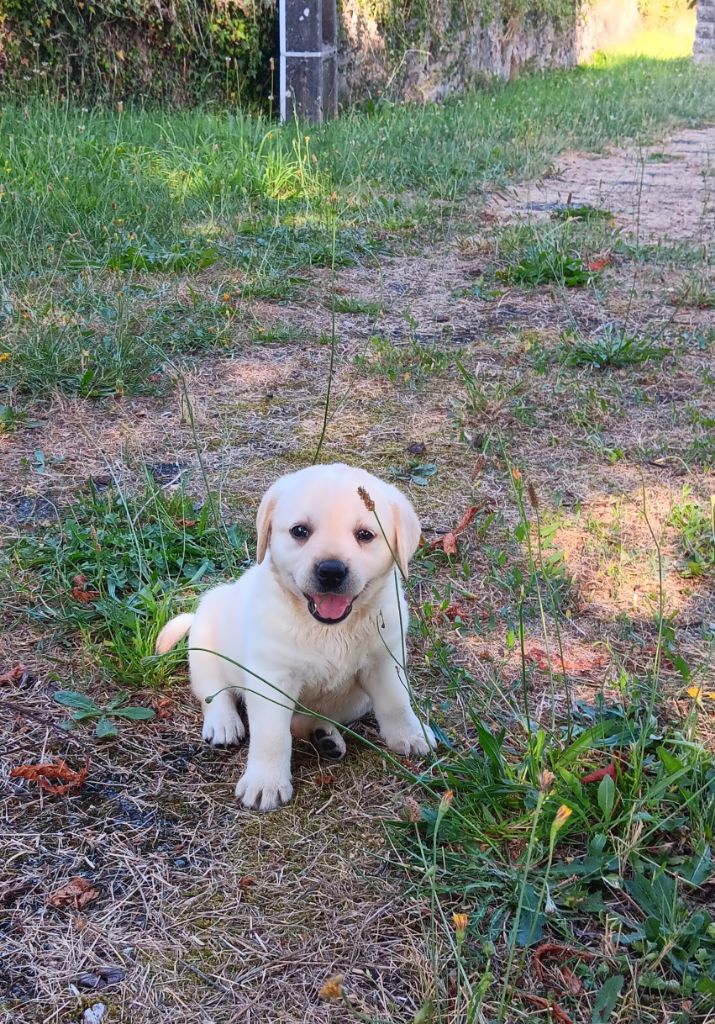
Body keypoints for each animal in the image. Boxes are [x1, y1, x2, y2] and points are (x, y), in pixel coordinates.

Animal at [155, 464, 434, 806]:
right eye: (300, 531)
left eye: (365, 535)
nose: (331, 571)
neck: (329, 629)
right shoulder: (271, 678)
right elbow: (272, 735)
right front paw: (266, 782)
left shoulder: (385, 661)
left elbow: (397, 703)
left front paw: (410, 735)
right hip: (206, 641)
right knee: (213, 692)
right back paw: (224, 723)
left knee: (301, 720)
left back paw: (325, 736)